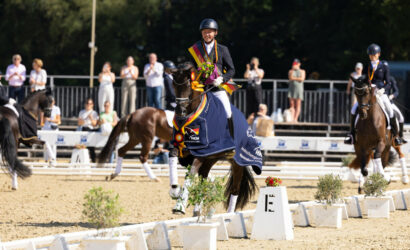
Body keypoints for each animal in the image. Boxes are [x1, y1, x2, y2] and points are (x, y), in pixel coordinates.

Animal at [170, 62, 260, 215]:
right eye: (174, 85)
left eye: (188, 85)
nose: (180, 111)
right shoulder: (183, 148)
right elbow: (172, 157)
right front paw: (175, 190)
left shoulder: (201, 153)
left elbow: (191, 173)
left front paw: (179, 205)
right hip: (211, 159)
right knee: (204, 179)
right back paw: (197, 210)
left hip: (237, 163)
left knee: (234, 189)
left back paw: (229, 215)